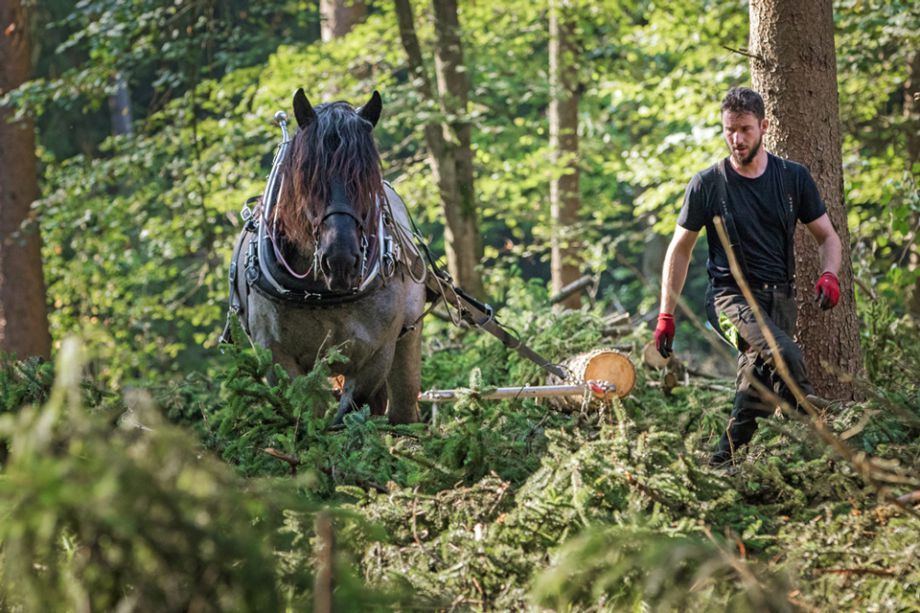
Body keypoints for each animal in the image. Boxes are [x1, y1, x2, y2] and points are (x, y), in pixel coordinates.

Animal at [234, 89, 428, 426]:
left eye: (367, 176)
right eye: (307, 176)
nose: (341, 261)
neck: (318, 293)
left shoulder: (376, 354)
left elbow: (346, 414)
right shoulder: (275, 356)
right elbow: (307, 415)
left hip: (407, 343)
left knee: (402, 410)